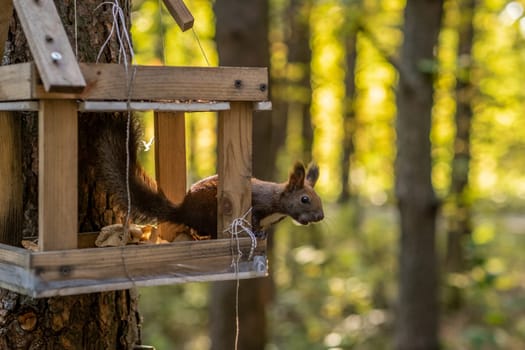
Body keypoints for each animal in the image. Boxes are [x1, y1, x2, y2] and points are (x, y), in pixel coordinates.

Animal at [94, 115, 324, 238]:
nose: (320, 217)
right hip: (209, 214)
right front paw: (257, 233)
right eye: (304, 199)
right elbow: (253, 219)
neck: (277, 204)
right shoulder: (257, 204)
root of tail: (183, 211)